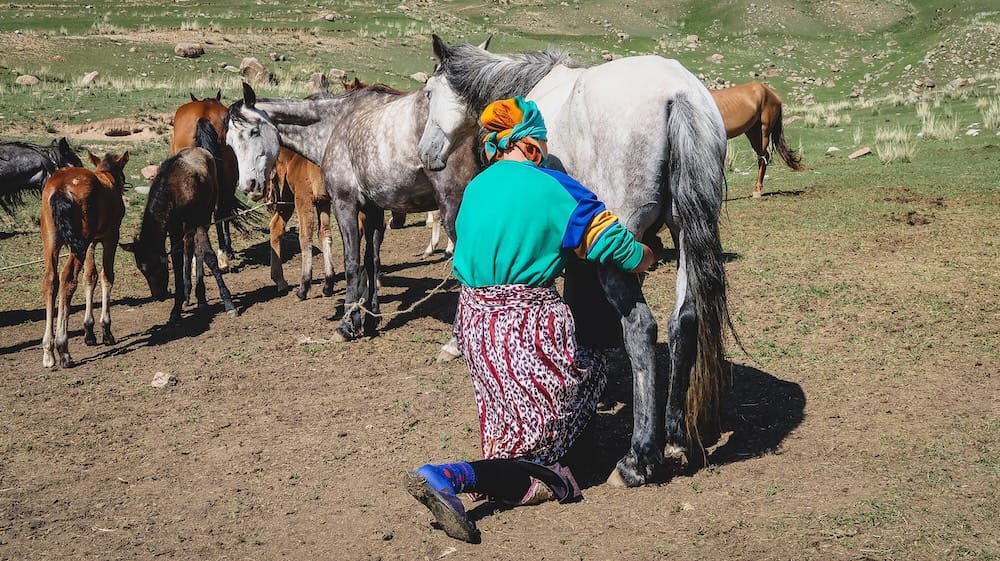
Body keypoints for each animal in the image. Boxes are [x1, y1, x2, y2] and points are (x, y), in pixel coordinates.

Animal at [40, 151, 129, 369]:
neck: (107, 177)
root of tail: (61, 188)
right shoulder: (110, 237)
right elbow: (106, 276)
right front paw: (106, 330)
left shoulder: (90, 243)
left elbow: (90, 277)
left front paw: (89, 331)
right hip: (79, 242)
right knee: (67, 278)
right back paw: (63, 348)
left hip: (53, 239)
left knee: (51, 280)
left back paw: (48, 351)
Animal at [123, 118, 238, 323]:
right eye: (142, 269)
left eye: (158, 265)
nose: (159, 296)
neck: (173, 192)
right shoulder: (174, 228)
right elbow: (178, 260)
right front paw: (176, 307)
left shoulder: (197, 221)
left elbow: (209, 257)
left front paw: (228, 303)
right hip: (188, 227)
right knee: (190, 249)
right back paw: (191, 296)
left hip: (203, 218)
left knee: (198, 251)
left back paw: (201, 297)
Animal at [263, 146, 337, 299]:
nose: (267, 200)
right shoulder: (323, 201)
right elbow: (324, 234)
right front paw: (328, 285)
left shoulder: (303, 197)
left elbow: (305, 237)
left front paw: (303, 288)